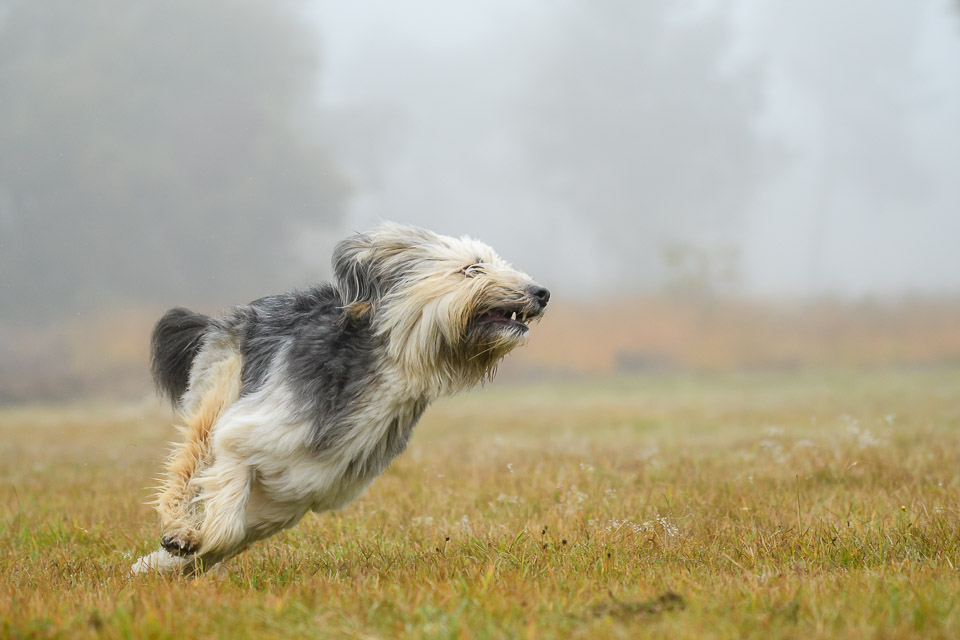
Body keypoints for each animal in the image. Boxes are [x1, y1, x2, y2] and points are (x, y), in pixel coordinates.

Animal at [133, 224, 548, 576]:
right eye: (472, 268)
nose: (541, 292)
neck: (388, 367)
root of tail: (230, 315)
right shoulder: (242, 435)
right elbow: (228, 522)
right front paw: (182, 544)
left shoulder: (297, 492)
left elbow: (235, 532)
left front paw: (165, 563)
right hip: (223, 388)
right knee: (189, 464)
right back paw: (178, 526)